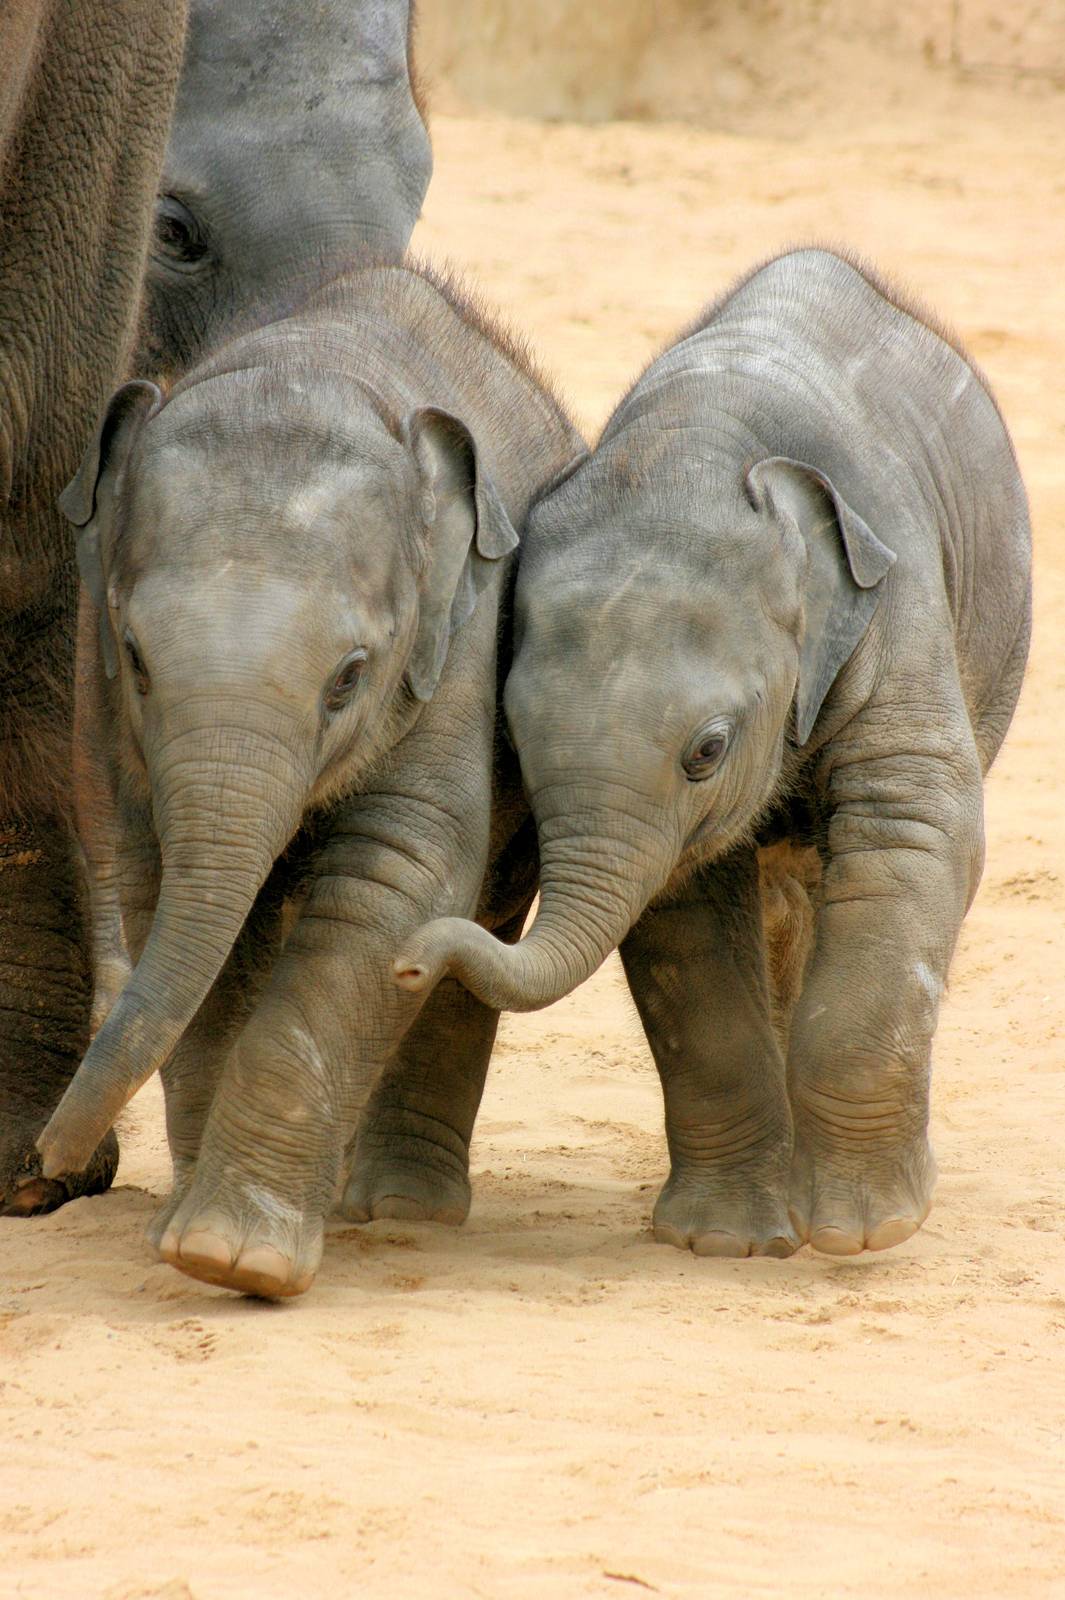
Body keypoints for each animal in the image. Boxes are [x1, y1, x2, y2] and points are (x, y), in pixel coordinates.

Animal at [36, 263, 585, 1297]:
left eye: (348, 678)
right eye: (135, 658)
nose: (48, 1159)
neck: (318, 365)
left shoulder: (458, 648)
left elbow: (391, 884)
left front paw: (233, 1258)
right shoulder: (109, 704)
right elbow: (170, 897)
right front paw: (185, 1236)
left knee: (481, 932)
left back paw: (397, 1208)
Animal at [395, 248, 1032, 1260]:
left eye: (708, 749)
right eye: (515, 746)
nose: (408, 966)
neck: (696, 448)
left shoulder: (895, 602)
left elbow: (910, 834)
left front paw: (862, 1233)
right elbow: (685, 913)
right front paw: (726, 1243)